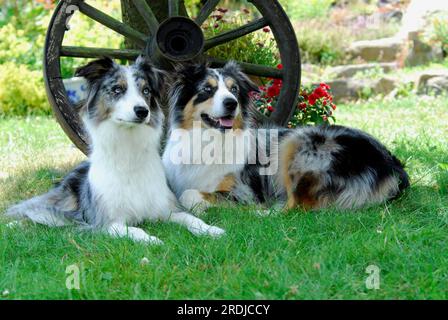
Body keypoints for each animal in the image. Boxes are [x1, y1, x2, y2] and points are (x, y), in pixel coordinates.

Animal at [7, 56, 224, 244]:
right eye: (118, 89)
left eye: (146, 91)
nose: (142, 111)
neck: (128, 151)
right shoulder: (107, 222)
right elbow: (134, 230)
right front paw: (152, 240)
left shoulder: (167, 208)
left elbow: (190, 218)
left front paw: (210, 230)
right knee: (35, 210)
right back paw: (15, 224)